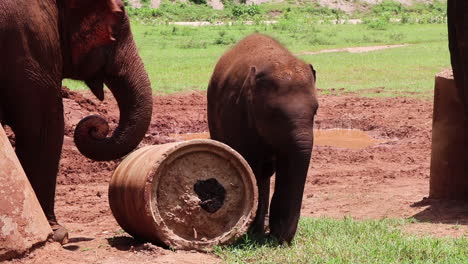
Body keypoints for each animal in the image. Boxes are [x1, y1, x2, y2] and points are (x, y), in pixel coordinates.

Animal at [207, 33, 318, 243]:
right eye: (274, 113)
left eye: (316, 110)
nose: (281, 237)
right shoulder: (237, 114)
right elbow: (250, 165)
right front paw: (253, 231)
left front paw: (271, 232)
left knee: (266, 172)